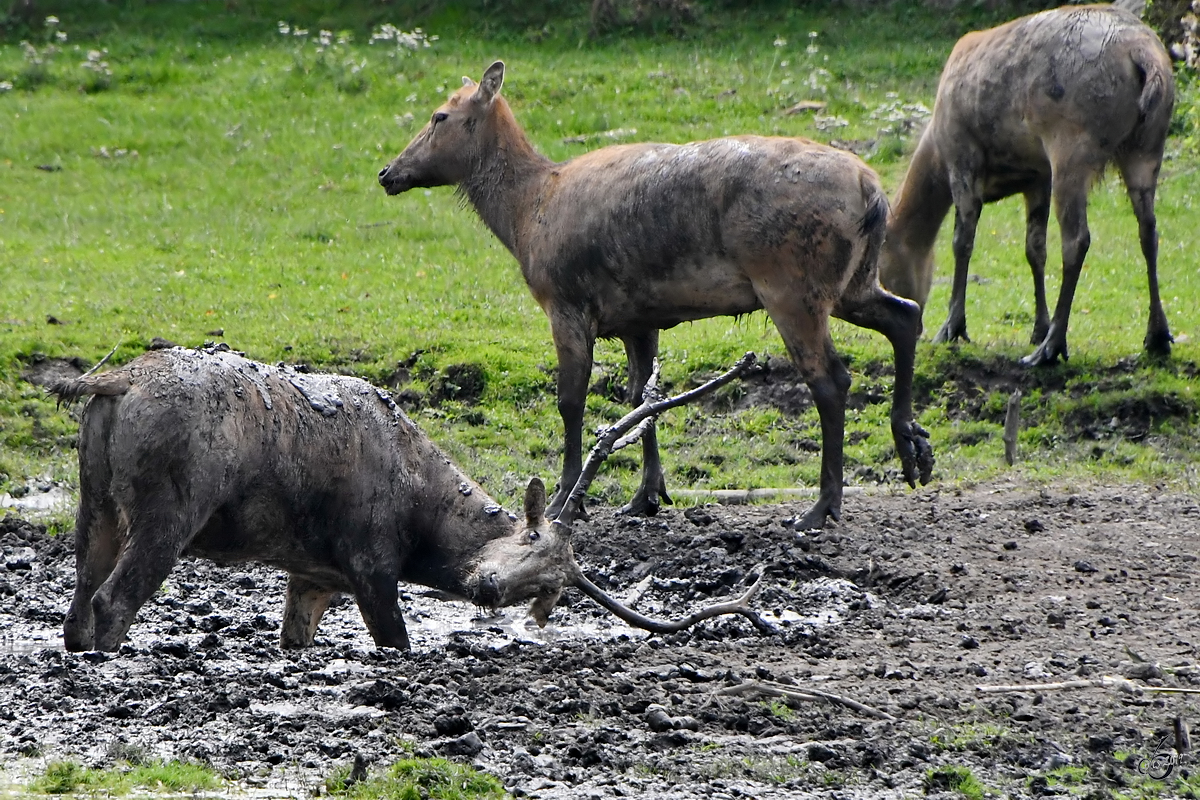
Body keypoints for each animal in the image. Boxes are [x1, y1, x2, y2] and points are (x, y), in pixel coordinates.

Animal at [379, 57, 931, 532]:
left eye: (440, 116)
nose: (387, 172)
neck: (525, 217)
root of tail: (872, 190)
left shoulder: (566, 301)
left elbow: (571, 400)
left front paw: (565, 501)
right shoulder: (638, 320)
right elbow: (643, 401)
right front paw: (646, 496)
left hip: (791, 283)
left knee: (832, 380)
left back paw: (823, 506)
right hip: (853, 280)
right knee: (905, 313)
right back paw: (913, 448)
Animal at [878, 2, 1176, 367]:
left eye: (878, 265)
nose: (914, 325)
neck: (935, 148)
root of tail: (1144, 53)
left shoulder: (963, 156)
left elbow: (962, 241)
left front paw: (952, 327)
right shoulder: (1037, 178)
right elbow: (1035, 249)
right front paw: (1038, 325)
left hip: (1072, 143)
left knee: (1077, 239)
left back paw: (1052, 346)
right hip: (1147, 148)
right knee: (1148, 231)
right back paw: (1156, 335)